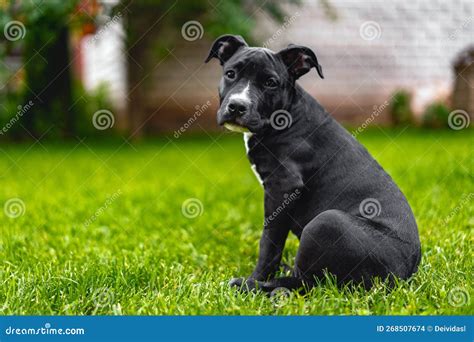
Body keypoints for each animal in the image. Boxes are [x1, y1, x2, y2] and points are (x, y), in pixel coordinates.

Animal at [206, 34, 420, 292]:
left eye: (270, 82)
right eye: (230, 74)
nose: (237, 106)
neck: (286, 114)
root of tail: (402, 277)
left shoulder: (283, 187)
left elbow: (269, 242)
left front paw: (255, 278)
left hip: (326, 222)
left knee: (306, 282)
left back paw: (255, 287)